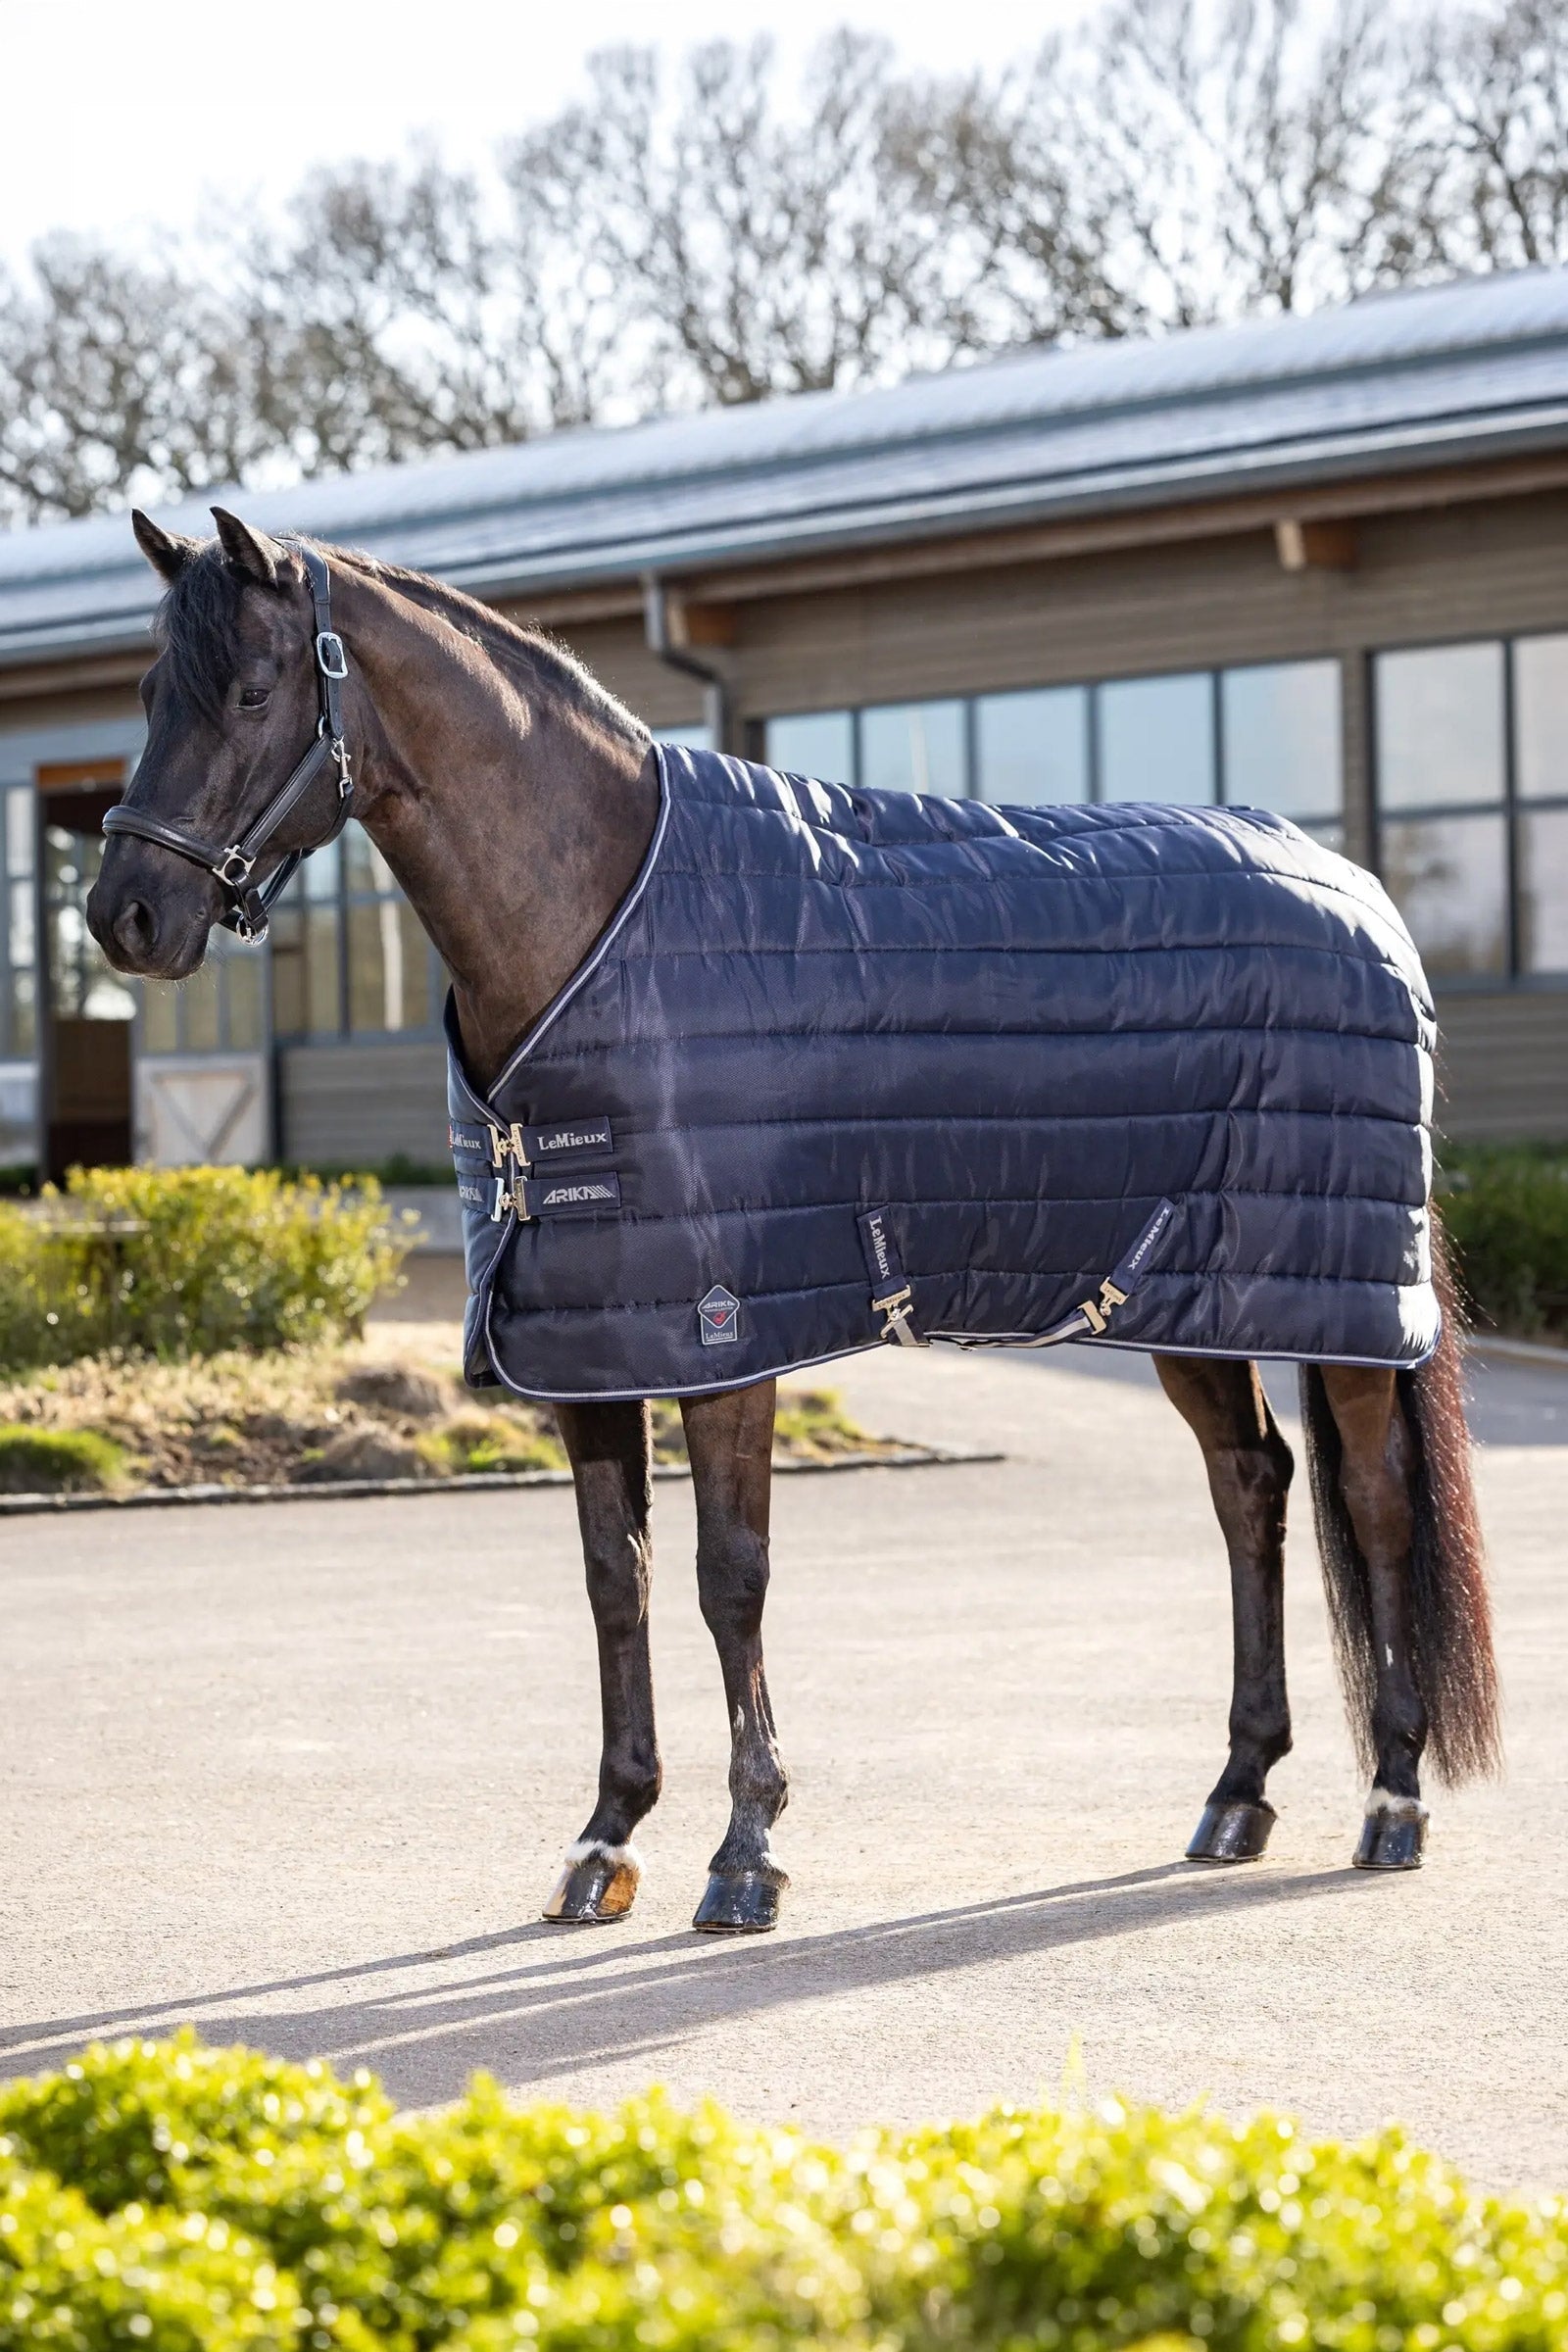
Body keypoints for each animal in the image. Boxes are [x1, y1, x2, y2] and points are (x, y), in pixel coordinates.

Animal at [87, 507, 1501, 1935]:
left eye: (251, 691)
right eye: (147, 693)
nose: (125, 917)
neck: (602, 921)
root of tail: (1360, 894)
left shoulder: (728, 1332)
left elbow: (731, 1576)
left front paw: (746, 1851)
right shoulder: (587, 1342)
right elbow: (614, 1578)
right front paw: (606, 1837)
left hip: (1336, 1307)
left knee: (1376, 1501)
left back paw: (1392, 1799)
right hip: (1186, 1296)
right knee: (1249, 1485)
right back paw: (1236, 1792)